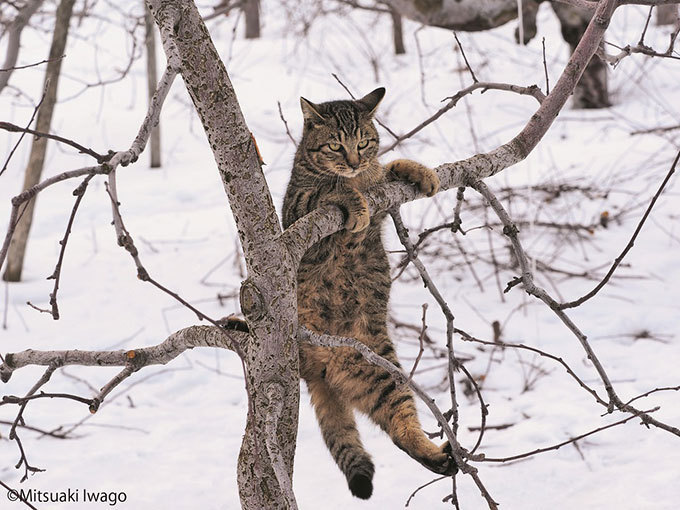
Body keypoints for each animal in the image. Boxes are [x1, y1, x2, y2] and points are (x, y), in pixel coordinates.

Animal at [282, 87, 456, 498]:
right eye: (334, 145)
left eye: (363, 142)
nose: (353, 161)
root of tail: (316, 369)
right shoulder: (296, 210)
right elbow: (328, 188)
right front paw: (351, 196)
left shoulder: (378, 187)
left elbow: (388, 165)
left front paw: (418, 171)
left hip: (383, 374)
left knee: (401, 425)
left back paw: (435, 456)